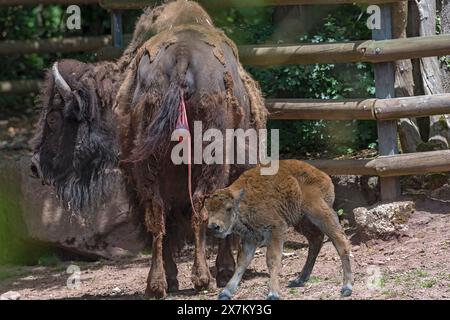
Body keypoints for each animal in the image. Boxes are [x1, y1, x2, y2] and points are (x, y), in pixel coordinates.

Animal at [113, 1, 268, 298]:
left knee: (158, 213)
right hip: (210, 160)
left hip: (148, 164)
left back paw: (158, 283)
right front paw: (224, 270)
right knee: (200, 206)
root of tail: (182, 56)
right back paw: (202, 277)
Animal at [205, 160, 356, 300]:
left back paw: (346, 287)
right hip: (300, 221)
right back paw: (299, 279)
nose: (214, 226)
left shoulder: (275, 230)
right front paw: (225, 293)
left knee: (339, 239)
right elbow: (242, 263)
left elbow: (272, 260)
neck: (242, 202)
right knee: (316, 240)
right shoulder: (250, 239)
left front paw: (273, 293)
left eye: (228, 208)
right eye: (208, 209)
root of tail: (322, 175)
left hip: (318, 212)